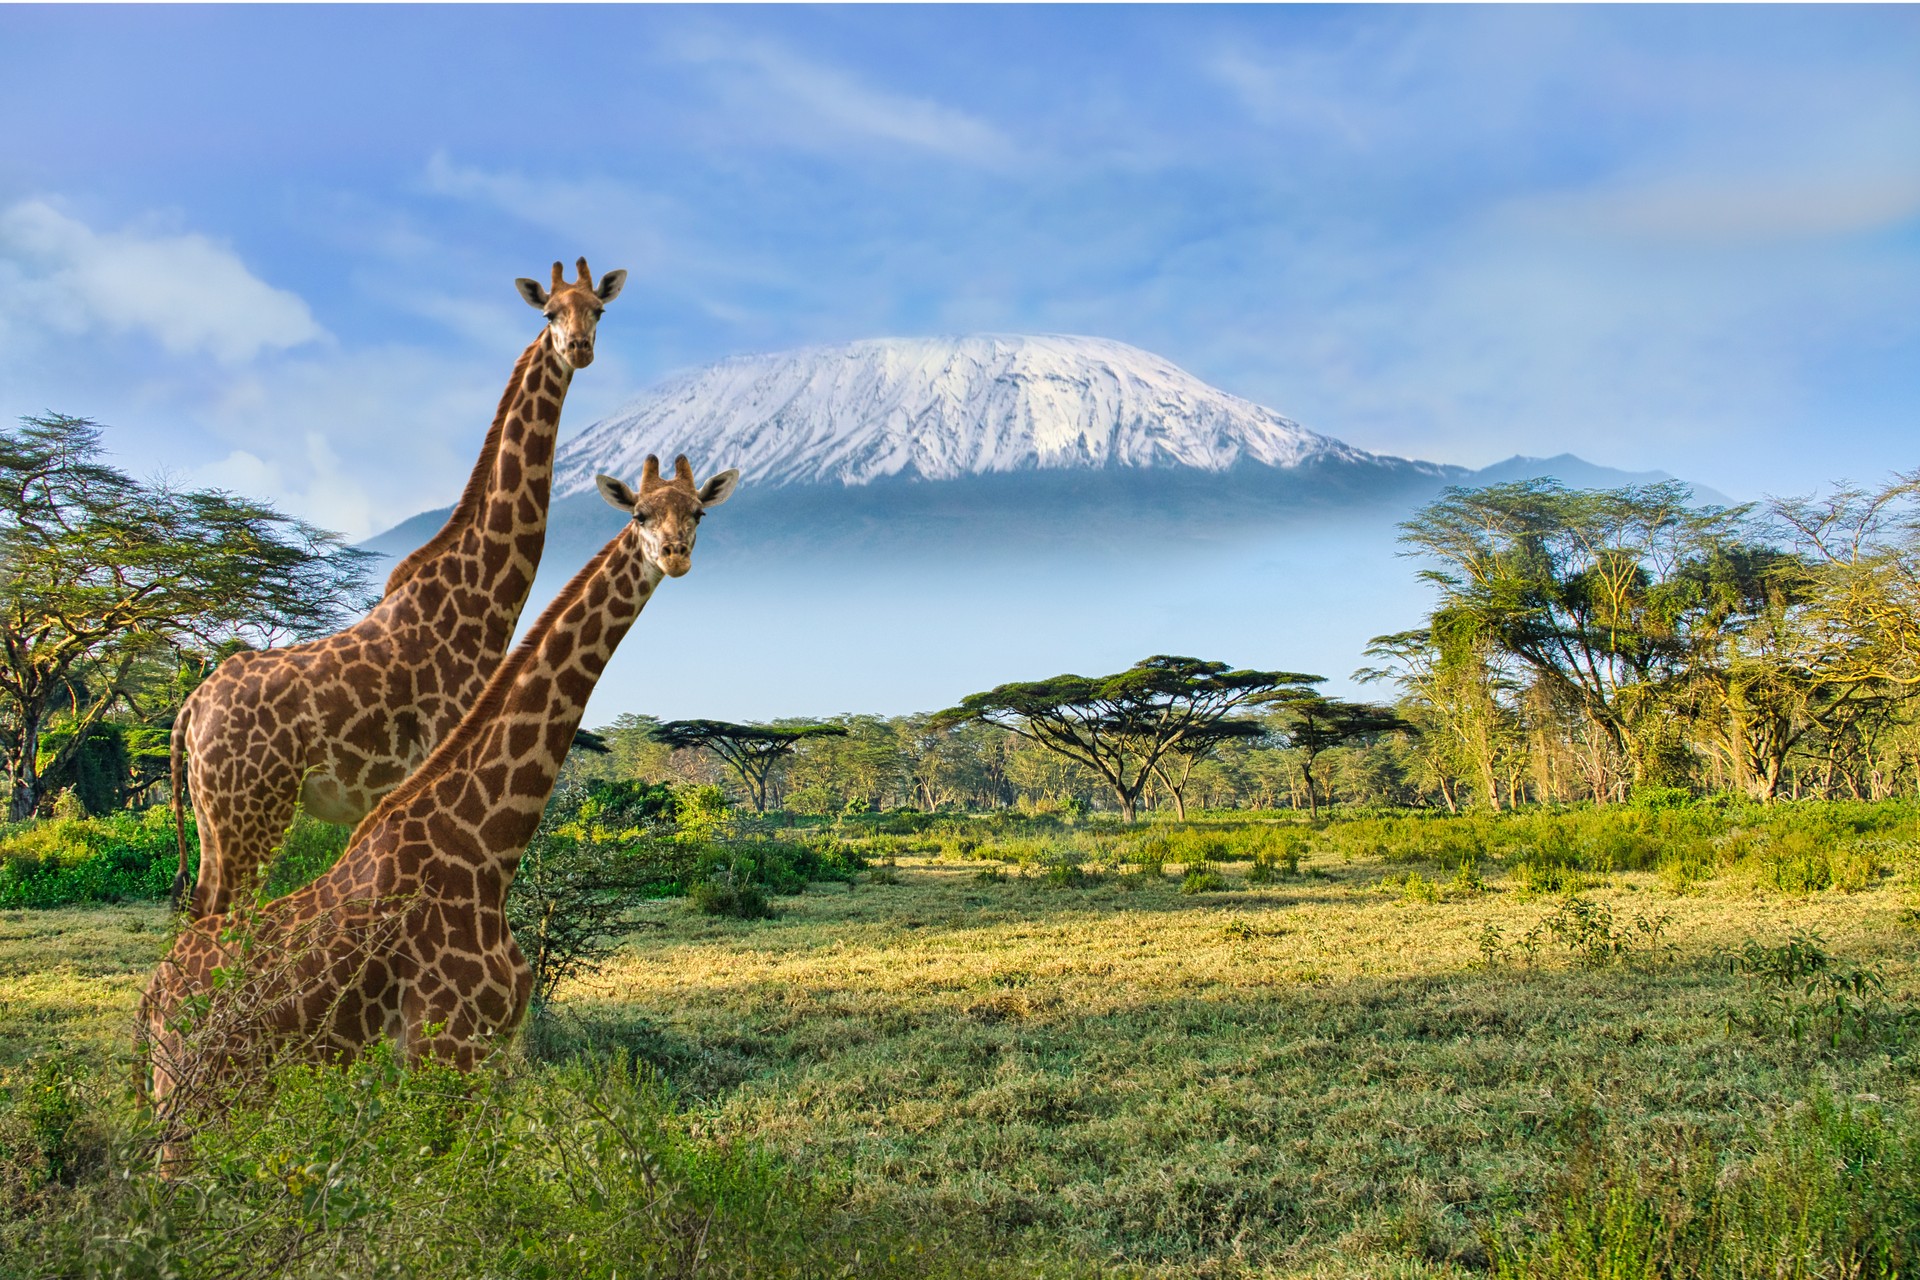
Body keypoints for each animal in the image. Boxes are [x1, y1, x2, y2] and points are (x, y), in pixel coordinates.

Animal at [140, 454, 741, 1113]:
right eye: (640, 515)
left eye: (698, 512)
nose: (675, 555)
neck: (484, 846)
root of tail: (152, 1001)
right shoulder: (444, 1049)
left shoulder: (491, 1051)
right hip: (195, 1083)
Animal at [170, 257, 622, 921]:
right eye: (549, 313)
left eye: (598, 310)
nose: (580, 349)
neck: (481, 602)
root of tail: (191, 709)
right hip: (247, 810)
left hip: (216, 816)